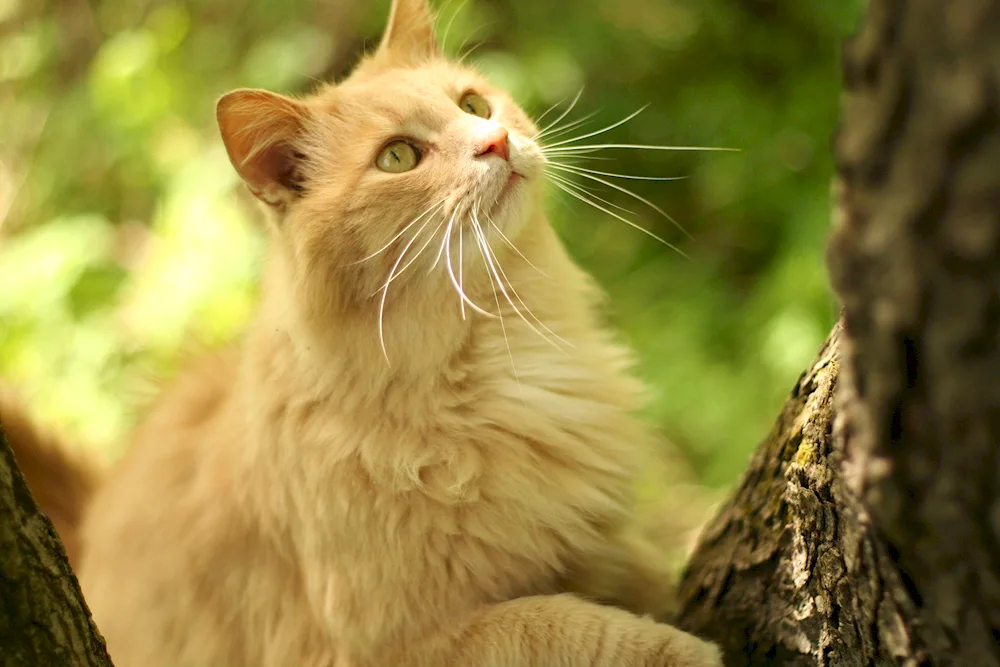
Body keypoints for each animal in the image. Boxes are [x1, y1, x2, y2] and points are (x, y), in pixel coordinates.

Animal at [0, 1, 724, 667]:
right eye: (398, 156)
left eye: (473, 103)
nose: (494, 141)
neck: (496, 350)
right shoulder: (395, 645)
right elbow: (555, 622)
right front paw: (678, 648)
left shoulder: (602, 541)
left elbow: (635, 572)